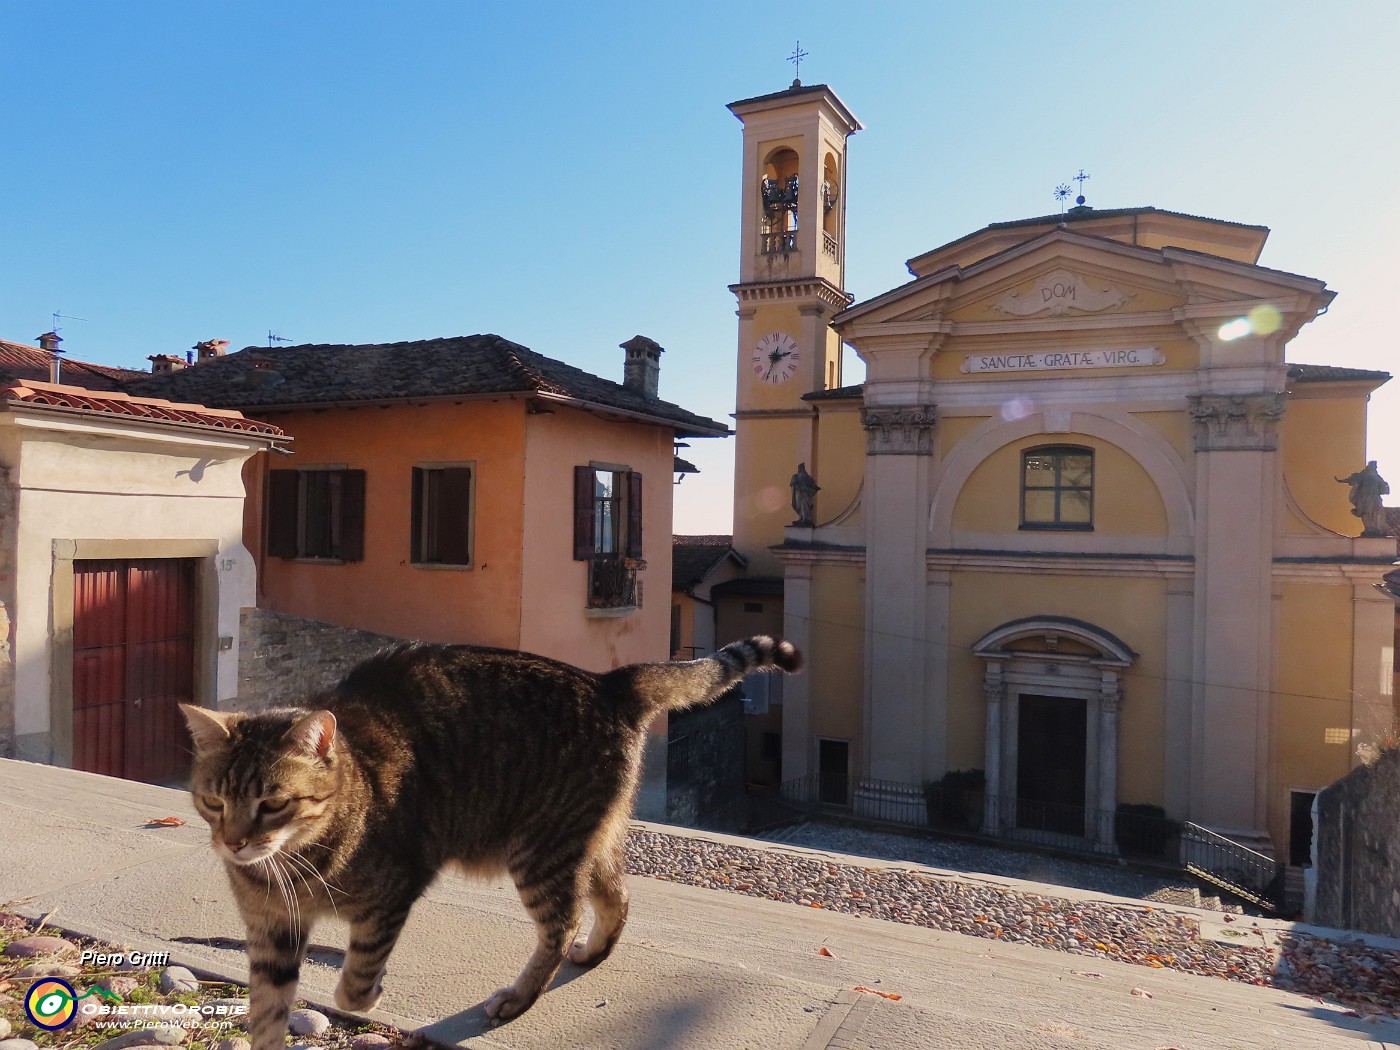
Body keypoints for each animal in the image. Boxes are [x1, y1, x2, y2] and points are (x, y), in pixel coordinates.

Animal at [182, 632, 806, 1047]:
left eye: (273, 803)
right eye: (214, 801)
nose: (234, 843)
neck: (294, 863)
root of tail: (608, 682)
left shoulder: (392, 894)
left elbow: (354, 982)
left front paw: (368, 992)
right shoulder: (270, 931)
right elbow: (267, 1012)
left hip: (540, 850)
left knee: (562, 922)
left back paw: (519, 997)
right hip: (582, 841)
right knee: (616, 897)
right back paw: (593, 953)